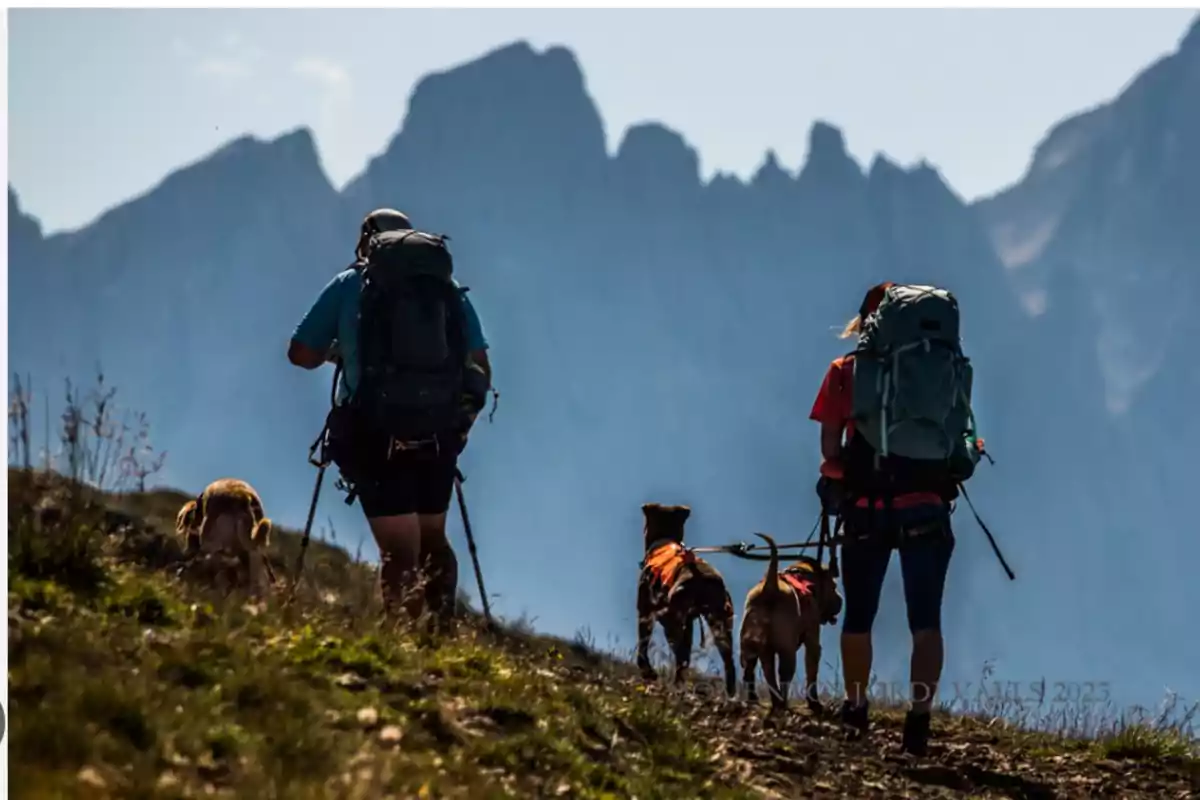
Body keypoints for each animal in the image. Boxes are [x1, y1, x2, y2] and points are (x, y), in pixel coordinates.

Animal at [633, 503, 734, 695]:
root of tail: (704, 579)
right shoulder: (689, 622)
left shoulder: (645, 610)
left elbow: (643, 643)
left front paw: (647, 671)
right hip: (721, 624)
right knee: (728, 661)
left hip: (672, 620)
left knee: (679, 654)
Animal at [739, 532, 844, 714]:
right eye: (834, 585)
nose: (841, 600)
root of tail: (770, 588)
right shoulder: (812, 640)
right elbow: (812, 672)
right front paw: (814, 703)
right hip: (786, 650)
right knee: (782, 676)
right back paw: (781, 702)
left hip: (749, 646)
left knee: (753, 671)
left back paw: (759, 699)